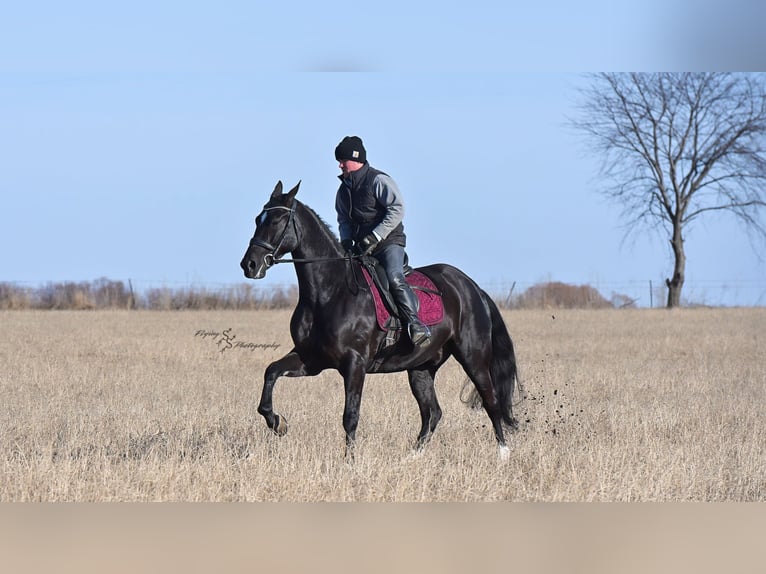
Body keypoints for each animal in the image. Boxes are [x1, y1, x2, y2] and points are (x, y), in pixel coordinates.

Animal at [240, 181, 522, 460]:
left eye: (276, 220)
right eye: (257, 219)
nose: (249, 265)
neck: (329, 292)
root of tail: (471, 287)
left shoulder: (354, 364)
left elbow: (350, 416)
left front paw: (349, 461)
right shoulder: (311, 360)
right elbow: (270, 373)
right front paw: (277, 422)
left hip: (473, 358)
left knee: (490, 401)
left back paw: (503, 454)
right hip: (421, 367)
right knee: (432, 412)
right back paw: (412, 457)